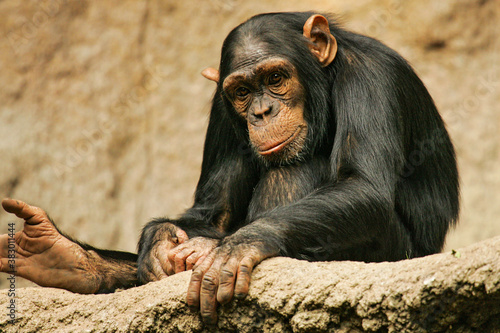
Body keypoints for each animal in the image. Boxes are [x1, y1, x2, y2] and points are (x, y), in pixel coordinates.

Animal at [0, 13, 460, 324]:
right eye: (241, 92)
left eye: (275, 78)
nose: (261, 111)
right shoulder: (222, 112)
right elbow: (212, 213)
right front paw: (162, 240)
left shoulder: (371, 79)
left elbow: (362, 186)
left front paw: (237, 247)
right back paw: (66, 258)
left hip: (395, 255)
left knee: (292, 172)